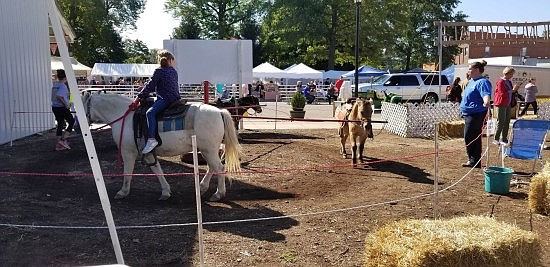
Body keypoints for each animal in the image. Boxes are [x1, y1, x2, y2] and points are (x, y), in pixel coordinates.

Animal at [83, 93, 243, 202]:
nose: (79, 125)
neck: (125, 117)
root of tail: (219, 111)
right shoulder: (148, 153)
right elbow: (157, 170)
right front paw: (166, 191)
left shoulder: (128, 152)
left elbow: (127, 172)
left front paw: (123, 191)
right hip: (208, 150)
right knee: (212, 167)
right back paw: (203, 187)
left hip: (208, 150)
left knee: (219, 168)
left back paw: (218, 194)